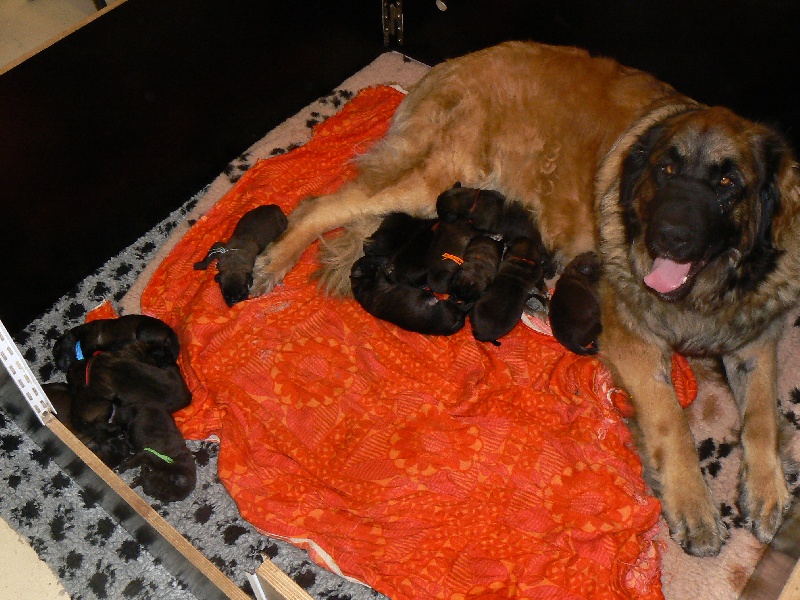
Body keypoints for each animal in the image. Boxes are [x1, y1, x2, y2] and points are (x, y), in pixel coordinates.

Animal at [252, 42, 800, 556]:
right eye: (666, 170)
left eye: (728, 182)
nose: (670, 237)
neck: (709, 289)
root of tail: (457, 62)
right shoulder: (632, 339)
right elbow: (672, 420)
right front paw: (695, 506)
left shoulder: (755, 338)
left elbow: (761, 413)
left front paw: (768, 487)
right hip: (434, 181)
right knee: (320, 205)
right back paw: (274, 260)